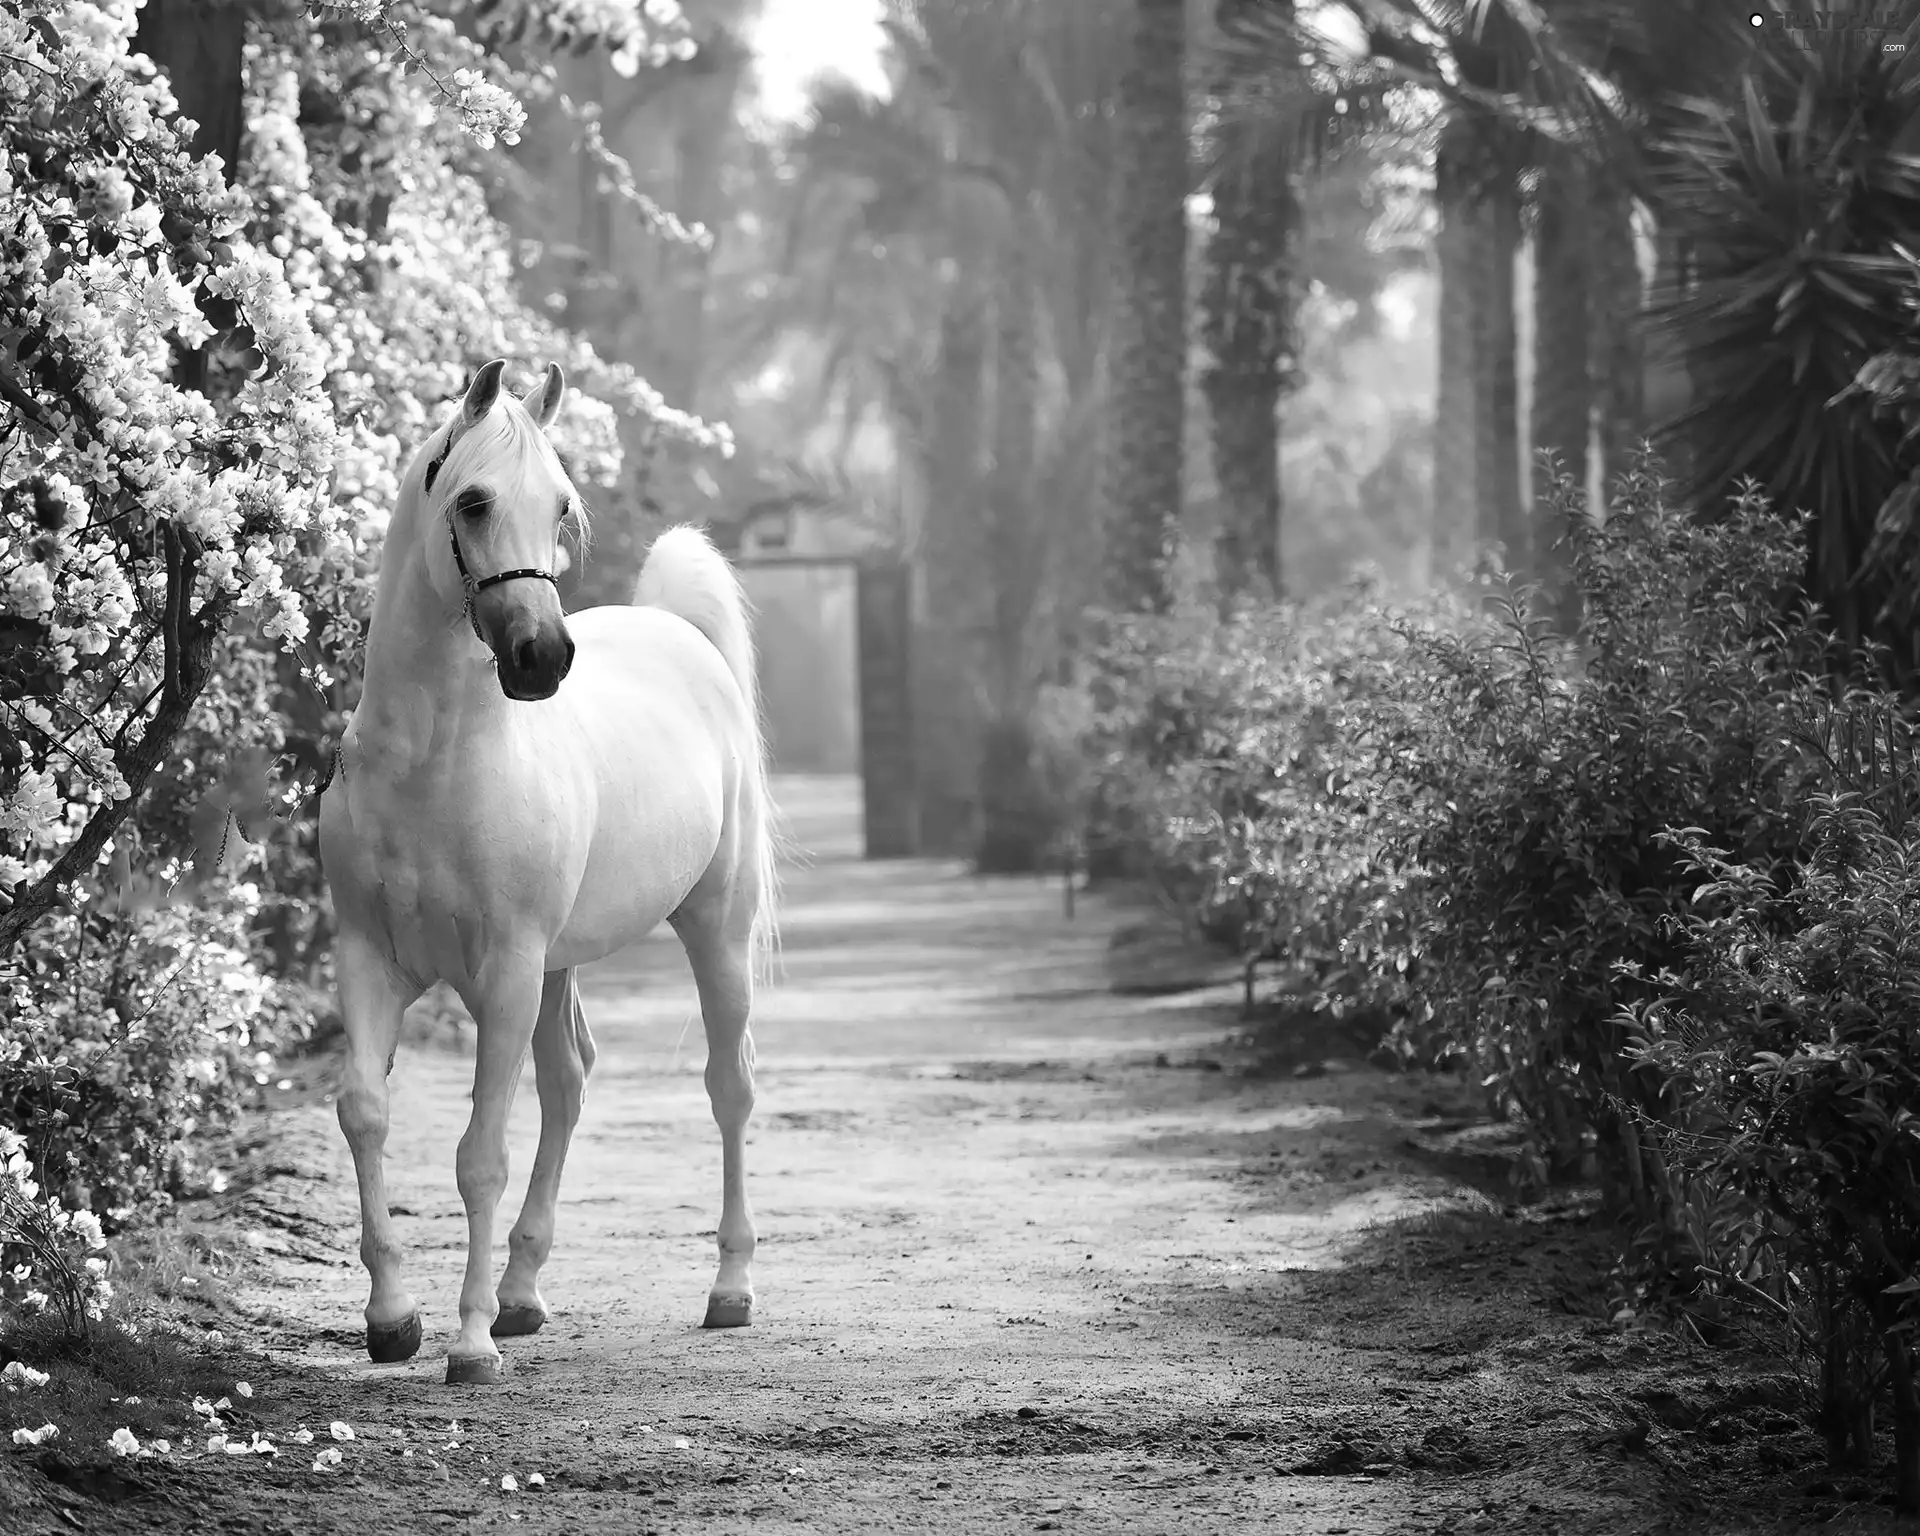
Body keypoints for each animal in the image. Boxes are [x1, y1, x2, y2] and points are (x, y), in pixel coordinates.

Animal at [318, 362, 775, 1390]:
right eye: (474, 501)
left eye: (562, 506)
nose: (542, 657)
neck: (434, 766)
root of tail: (676, 633)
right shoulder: (368, 960)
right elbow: (366, 1113)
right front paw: (393, 1319)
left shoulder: (505, 973)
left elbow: (480, 1154)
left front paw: (469, 1344)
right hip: (560, 965)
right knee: (569, 1084)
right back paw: (524, 1294)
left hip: (713, 930)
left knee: (728, 1086)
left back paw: (728, 1291)